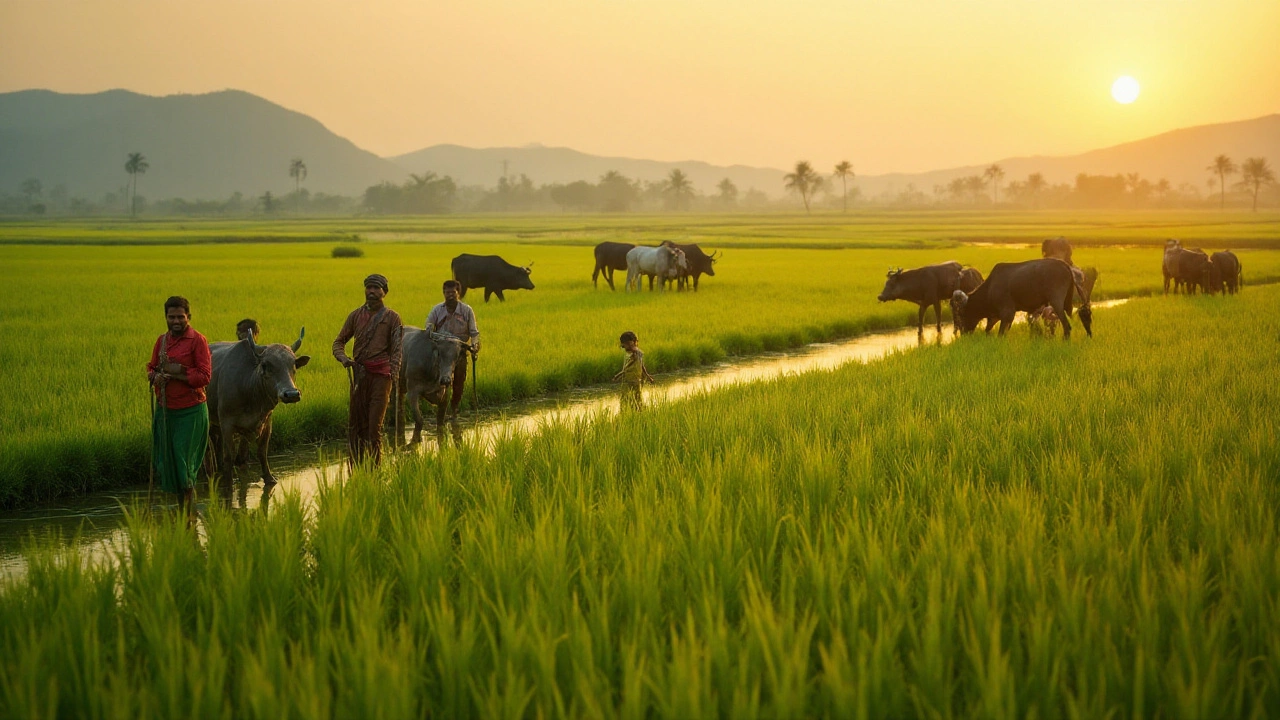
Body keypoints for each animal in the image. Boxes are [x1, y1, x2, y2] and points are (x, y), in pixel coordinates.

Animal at [209, 327, 312, 484]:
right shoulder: (226, 423)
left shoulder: (266, 421)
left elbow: (261, 452)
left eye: (294, 364)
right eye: (265, 365)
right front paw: (228, 483)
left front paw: (270, 478)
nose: (292, 394)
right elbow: (230, 456)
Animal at [952, 256, 1090, 338]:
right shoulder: (997, 316)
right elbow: (990, 329)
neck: (989, 290)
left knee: (1067, 326)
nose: (963, 333)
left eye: (962, 314)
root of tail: (1064, 265)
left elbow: (1001, 333)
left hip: (1056, 301)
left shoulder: (1007, 312)